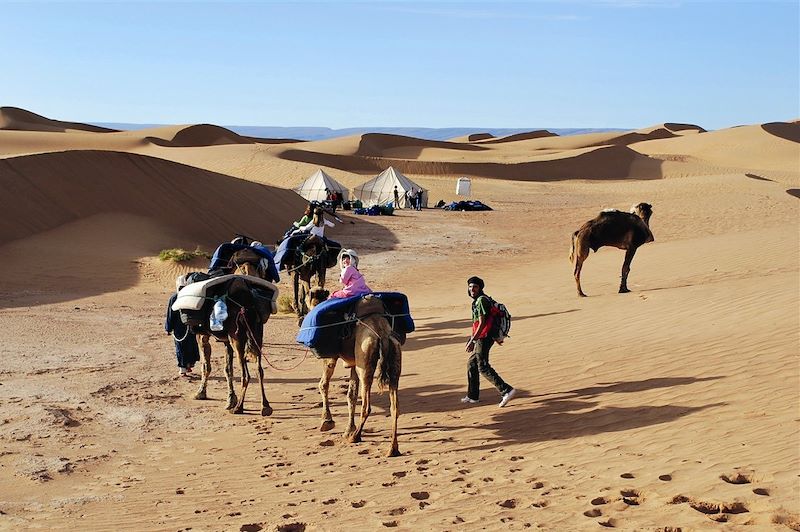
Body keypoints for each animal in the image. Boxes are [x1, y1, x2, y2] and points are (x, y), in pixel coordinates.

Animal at [193, 247, 276, 418]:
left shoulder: (203, 335)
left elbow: (206, 365)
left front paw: (201, 393)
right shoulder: (227, 340)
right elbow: (228, 369)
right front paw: (230, 398)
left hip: (238, 338)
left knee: (246, 375)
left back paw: (239, 408)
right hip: (255, 335)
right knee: (259, 370)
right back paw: (265, 406)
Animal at [308, 286, 406, 458]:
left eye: (307, 294)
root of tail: (383, 335)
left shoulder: (331, 358)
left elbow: (323, 384)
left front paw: (327, 422)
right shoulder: (354, 363)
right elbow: (351, 395)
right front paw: (348, 428)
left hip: (365, 363)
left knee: (367, 405)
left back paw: (355, 437)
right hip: (394, 359)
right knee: (395, 407)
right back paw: (392, 449)